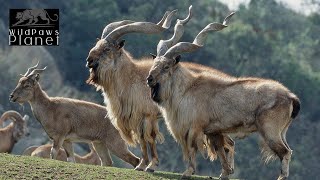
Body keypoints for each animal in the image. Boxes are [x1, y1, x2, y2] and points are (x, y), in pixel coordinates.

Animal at [9, 63, 139, 167]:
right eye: (19, 82)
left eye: (27, 85)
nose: (12, 96)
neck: (50, 108)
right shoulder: (67, 140)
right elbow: (71, 159)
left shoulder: (59, 137)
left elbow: (53, 154)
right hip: (99, 144)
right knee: (107, 162)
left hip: (116, 144)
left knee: (135, 160)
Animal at [147, 11, 300, 179]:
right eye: (155, 63)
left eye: (166, 66)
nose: (149, 79)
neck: (187, 89)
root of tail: (291, 98)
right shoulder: (214, 132)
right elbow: (221, 152)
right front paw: (224, 174)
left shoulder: (194, 128)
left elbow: (193, 149)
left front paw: (188, 172)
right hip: (282, 132)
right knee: (288, 150)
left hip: (270, 131)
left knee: (284, 152)